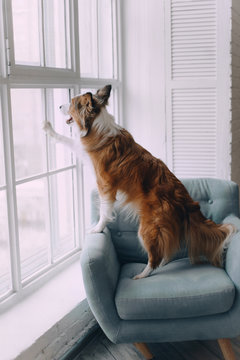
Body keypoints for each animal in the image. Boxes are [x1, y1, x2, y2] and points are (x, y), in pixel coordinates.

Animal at [43, 84, 236, 278]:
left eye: (72, 103)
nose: (59, 106)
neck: (97, 124)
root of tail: (184, 198)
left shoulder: (105, 185)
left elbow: (104, 211)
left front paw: (97, 229)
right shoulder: (85, 152)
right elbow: (69, 141)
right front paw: (49, 129)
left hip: (148, 228)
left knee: (156, 255)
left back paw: (142, 275)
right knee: (167, 250)